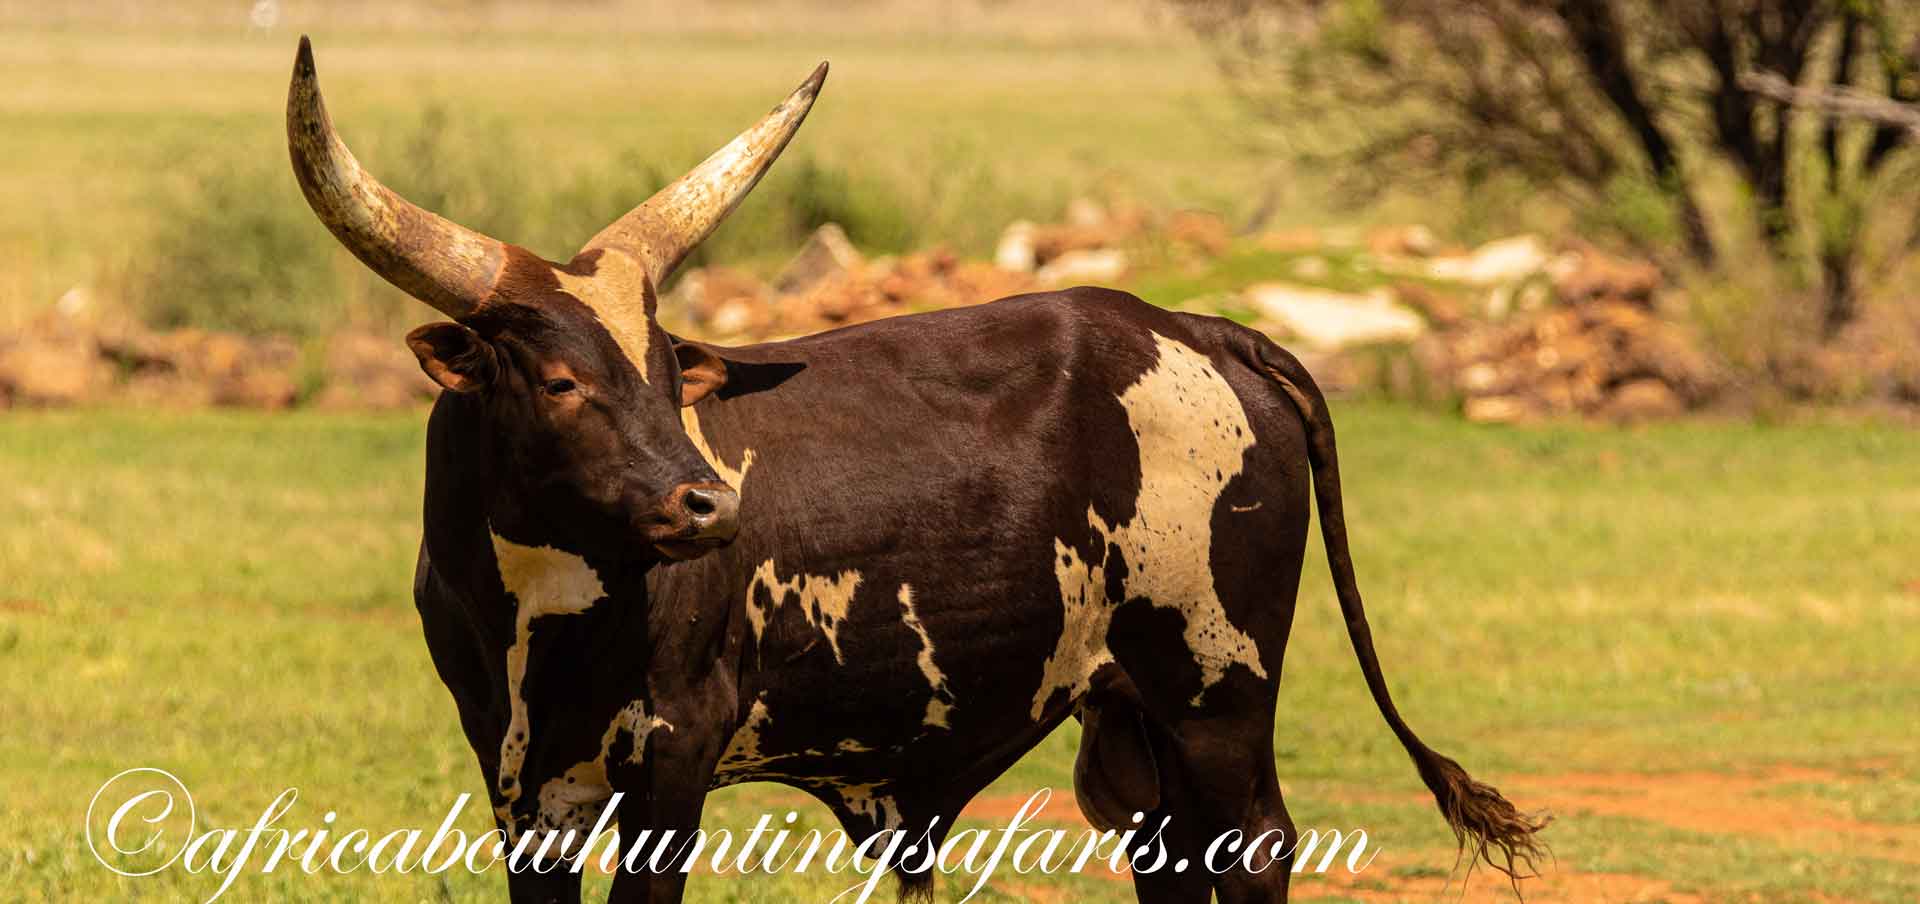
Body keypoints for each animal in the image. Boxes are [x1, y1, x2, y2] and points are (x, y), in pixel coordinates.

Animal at [287, 36, 1543, 904]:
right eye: (555, 379)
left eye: (666, 367)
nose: (710, 503)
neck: (540, 602)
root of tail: (1199, 326)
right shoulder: (519, 783)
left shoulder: (674, 755)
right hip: (1129, 716)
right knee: (1170, 855)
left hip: (1216, 683)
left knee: (1255, 848)